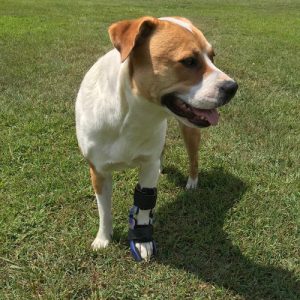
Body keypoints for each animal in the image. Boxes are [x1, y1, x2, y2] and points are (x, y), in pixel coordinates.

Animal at [76, 15, 238, 260]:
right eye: (189, 61)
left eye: (212, 56)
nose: (232, 87)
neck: (135, 114)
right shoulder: (98, 170)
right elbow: (104, 209)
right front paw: (103, 238)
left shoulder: (147, 166)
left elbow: (144, 206)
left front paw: (142, 241)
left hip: (190, 130)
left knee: (193, 159)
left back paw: (192, 182)